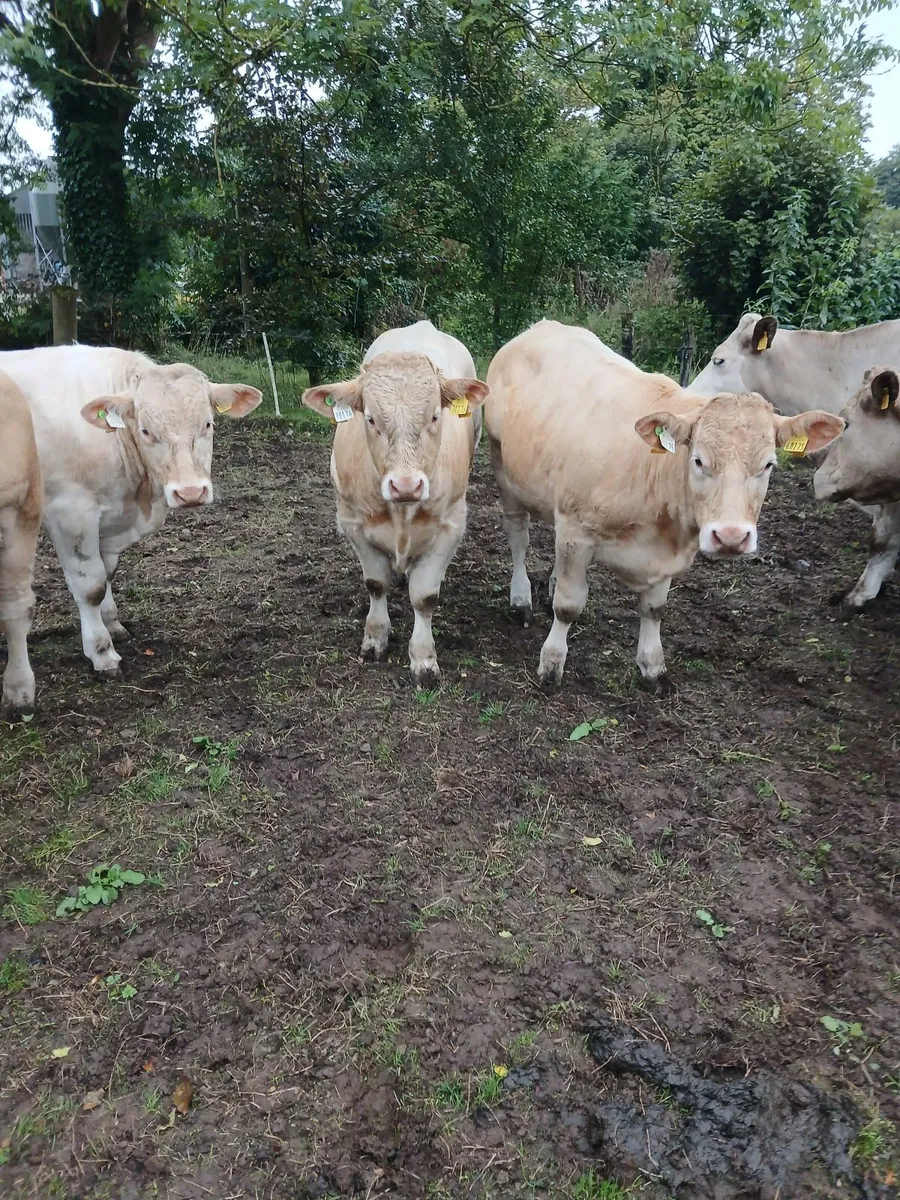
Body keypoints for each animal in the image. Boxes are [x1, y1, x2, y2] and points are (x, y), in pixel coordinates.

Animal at [0, 346, 262, 677]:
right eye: (146, 431)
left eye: (207, 424)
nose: (190, 493)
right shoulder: (70, 512)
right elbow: (91, 585)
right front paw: (102, 652)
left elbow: (108, 573)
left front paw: (113, 624)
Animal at [302, 320, 488, 686]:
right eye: (371, 419)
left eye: (435, 416)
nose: (406, 485)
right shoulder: (352, 522)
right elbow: (376, 584)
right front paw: (375, 638)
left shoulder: (451, 526)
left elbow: (425, 597)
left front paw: (423, 658)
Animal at [485, 320, 843, 687]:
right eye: (698, 460)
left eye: (769, 465)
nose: (730, 537)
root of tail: (543, 326)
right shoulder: (576, 531)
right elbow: (568, 606)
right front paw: (552, 662)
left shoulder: (664, 553)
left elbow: (654, 609)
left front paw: (652, 665)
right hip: (503, 467)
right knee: (518, 537)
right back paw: (520, 598)